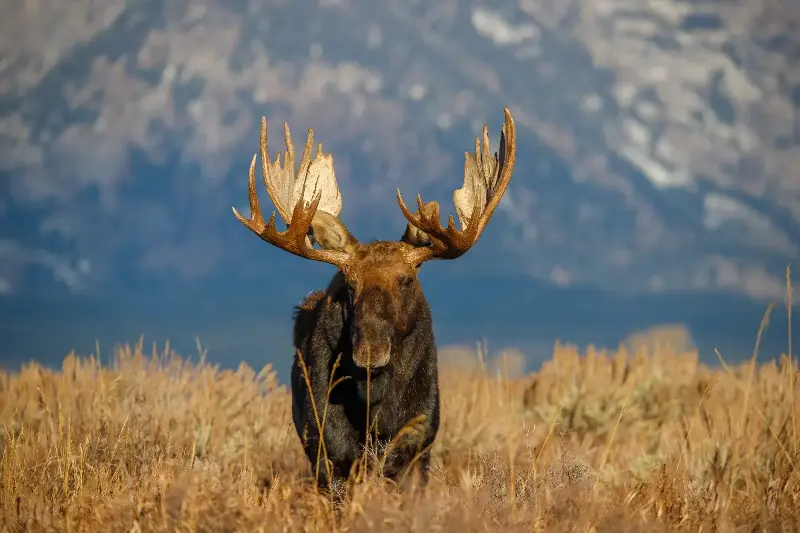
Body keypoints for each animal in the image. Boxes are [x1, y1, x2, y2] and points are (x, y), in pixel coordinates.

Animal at [232, 107, 517, 496]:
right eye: (350, 285)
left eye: (407, 280)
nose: (370, 351)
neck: (374, 403)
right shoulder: (329, 450)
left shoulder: (417, 444)